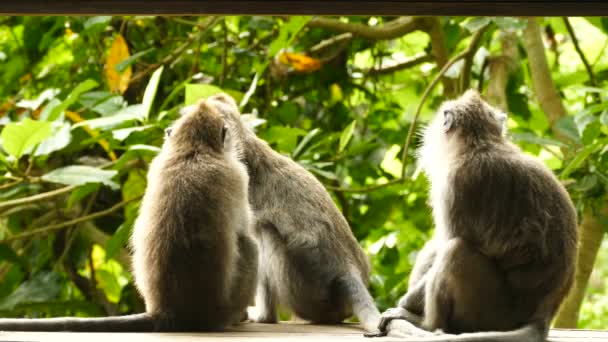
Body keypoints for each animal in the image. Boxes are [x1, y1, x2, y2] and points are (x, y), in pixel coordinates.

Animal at [0, 98, 258, 332]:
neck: (193, 150)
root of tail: (166, 311)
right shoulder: (238, 175)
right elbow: (244, 229)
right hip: (225, 307)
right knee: (249, 245)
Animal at [370, 89, 580, 340]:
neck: (479, 143)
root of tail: (543, 316)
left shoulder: (455, 184)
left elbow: (449, 241)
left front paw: (404, 304)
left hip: (491, 312)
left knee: (455, 249)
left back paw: (427, 324)